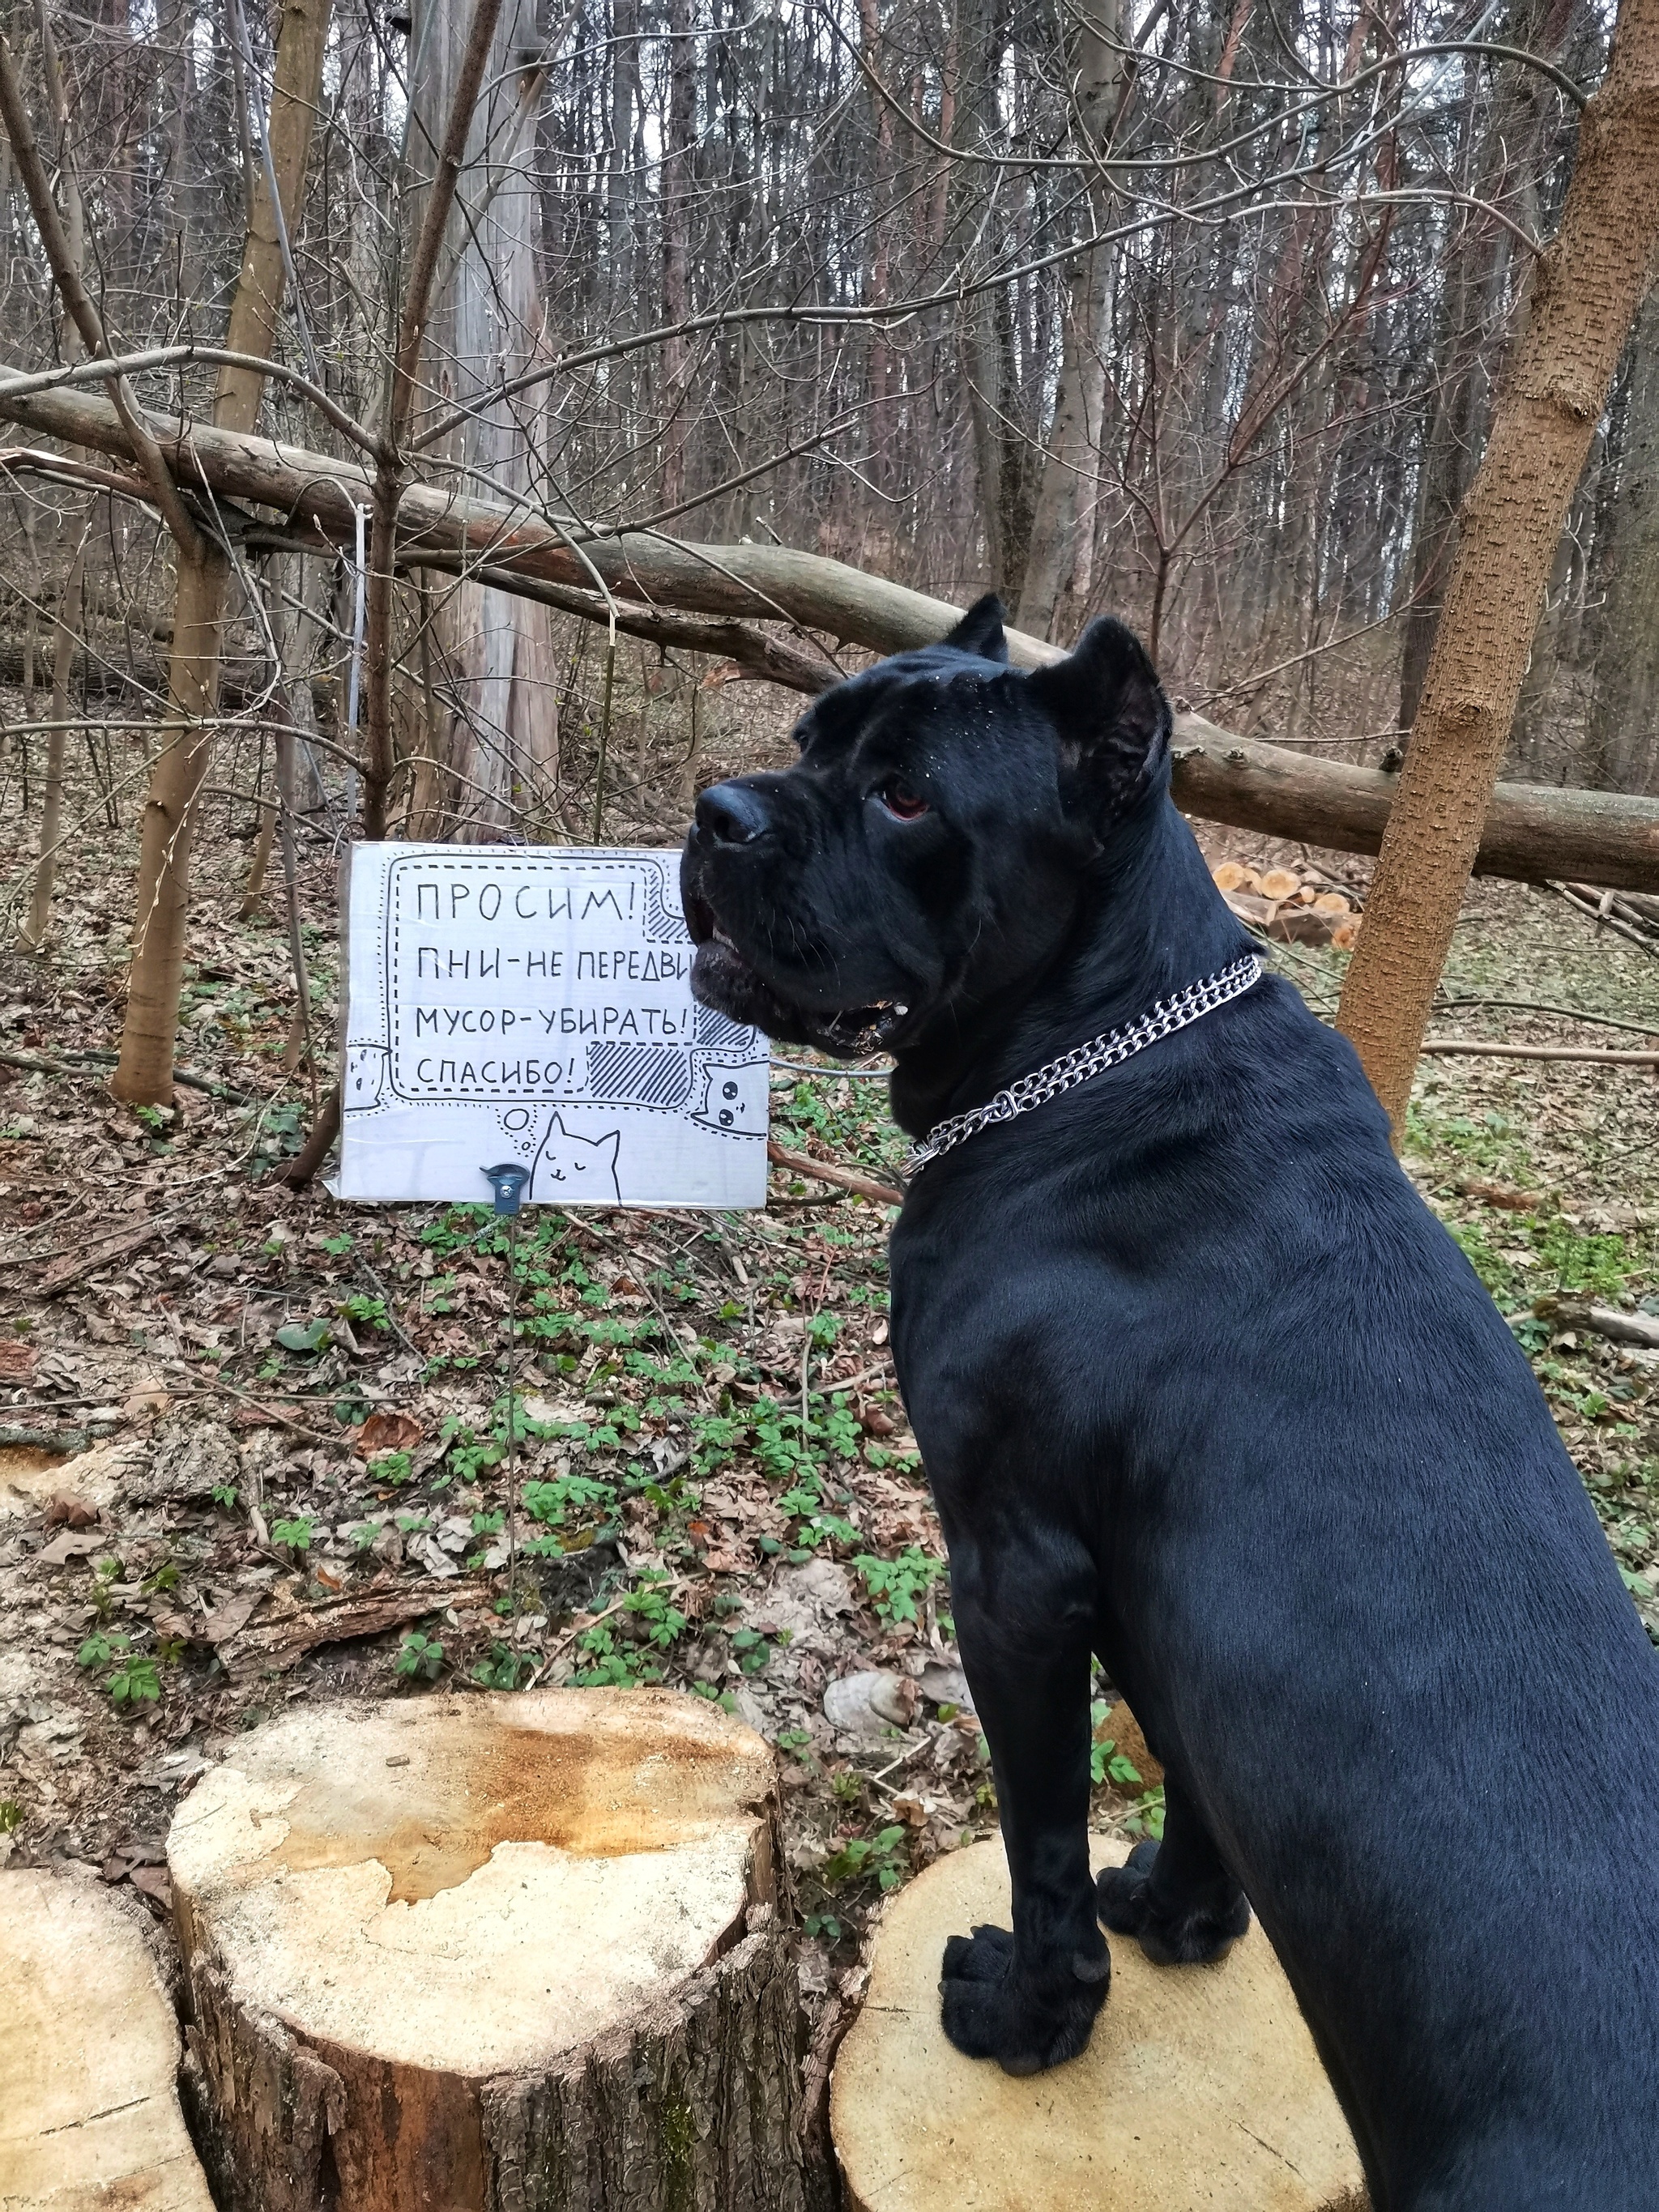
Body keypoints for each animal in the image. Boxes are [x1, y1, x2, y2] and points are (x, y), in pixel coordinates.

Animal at [681, 597, 1659, 2203]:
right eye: (809, 735)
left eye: (907, 797)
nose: (719, 812)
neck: (1099, 1051)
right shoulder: (1155, 1592)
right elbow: (1192, 1778)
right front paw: (1182, 1914)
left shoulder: (1014, 1570)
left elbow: (1040, 1836)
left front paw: (1032, 2017)